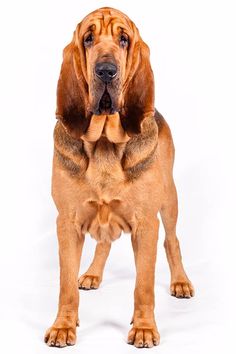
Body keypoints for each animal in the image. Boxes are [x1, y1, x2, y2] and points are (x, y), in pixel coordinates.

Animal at [43, 6, 194, 348]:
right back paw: (92, 274)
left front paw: (144, 328)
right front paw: (63, 326)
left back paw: (180, 282)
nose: (106, 71)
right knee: (104, 244)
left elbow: (144, 285)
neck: (103, 143)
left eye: (124, 39)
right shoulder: (66, 222)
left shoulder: (146, 223)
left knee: (173, 241)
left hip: (169, 200)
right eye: (88, 39)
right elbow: (65, 284)